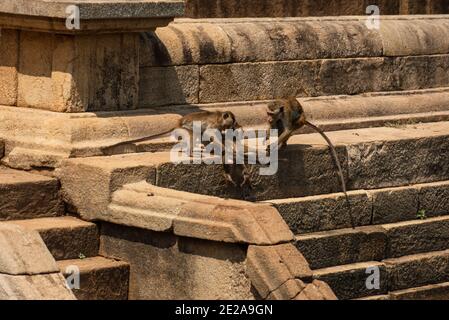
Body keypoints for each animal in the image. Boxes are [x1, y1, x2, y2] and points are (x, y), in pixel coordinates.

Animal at [100, 110, 240, 156]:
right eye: (232, 121)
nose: (235, 125)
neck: (220, 119)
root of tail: (179, 123)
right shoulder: (214, 125)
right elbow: (210, 135)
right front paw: (225, 149)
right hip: (184, 129)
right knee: (192, 134)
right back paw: (190, 153)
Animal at [266, 97, 354, 228]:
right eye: (268, 113)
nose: (268, 118)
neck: (280, 112)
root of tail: (305, 118)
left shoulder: (286, 114)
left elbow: (288, 129)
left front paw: (271, 146)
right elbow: (274, 126)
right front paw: (267, 136)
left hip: (300, 121)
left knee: (291, 127)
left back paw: (282, 145)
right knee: (278, 125)